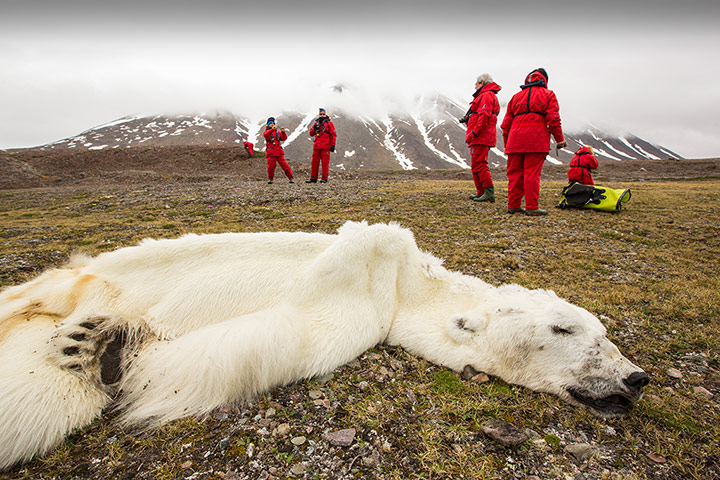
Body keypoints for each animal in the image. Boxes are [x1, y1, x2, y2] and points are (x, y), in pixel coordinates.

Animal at [0, 221, 649, 470]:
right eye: (566, 329)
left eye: (604, 334)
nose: (636, 378)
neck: (405, 286)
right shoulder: (369, 272)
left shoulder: (359, 318)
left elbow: (266, 339)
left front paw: (117, 350)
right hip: (86, 276)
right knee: (42, 294)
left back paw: (88, 344)